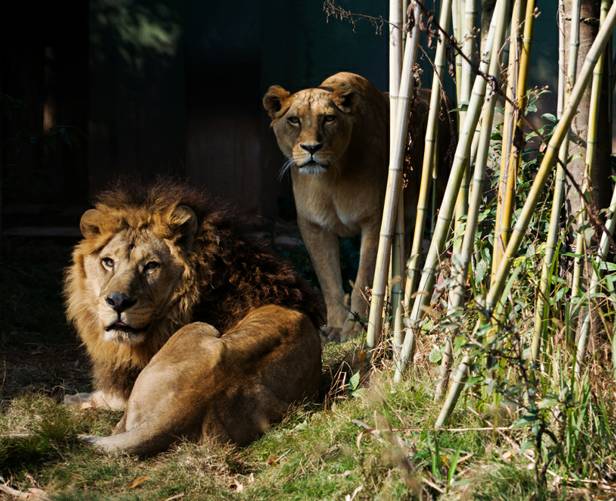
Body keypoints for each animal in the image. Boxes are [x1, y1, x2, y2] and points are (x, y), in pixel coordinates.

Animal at [63, 181, 322, 454]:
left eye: (151, 266)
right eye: (108, 262)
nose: (117, 302)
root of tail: (180, 408)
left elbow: (106, 398)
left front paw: (72, 398)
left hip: (199, 328)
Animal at [262, 70, 452, 340]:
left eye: (329, 118)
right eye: (294, 120)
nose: (311, 148)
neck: (330, 179)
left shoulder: (375, 221)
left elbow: (365, 277)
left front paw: (355, 328)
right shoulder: (313, 226)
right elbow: (329, 280)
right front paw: (335, 326)